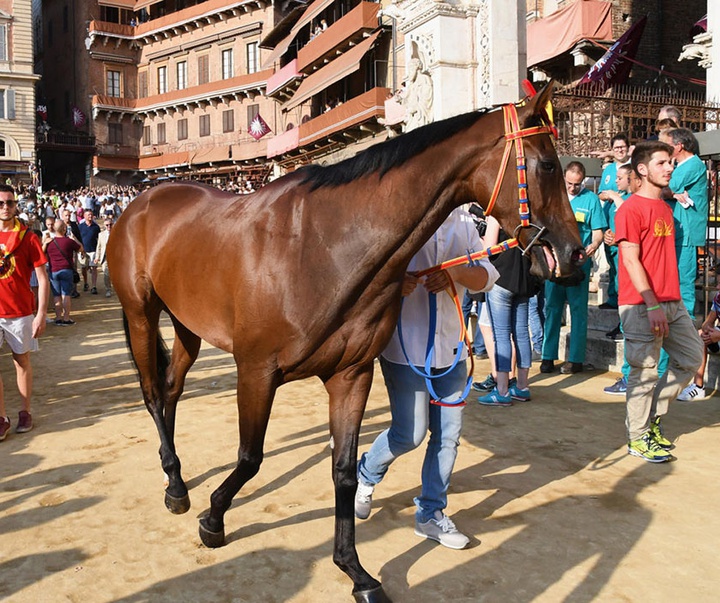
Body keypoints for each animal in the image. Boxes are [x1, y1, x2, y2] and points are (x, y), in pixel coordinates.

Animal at [108, 82, 584, 600]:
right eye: (548, 165)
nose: (575, 253)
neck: (322, 247)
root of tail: (142, 201)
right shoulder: (255, 370)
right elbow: (250, 457)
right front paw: (213, 519)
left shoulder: (350, 375)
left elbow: (343, 472)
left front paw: (354, 569)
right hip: (140, 313)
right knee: (152, 393)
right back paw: (176, 487)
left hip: (186, 323)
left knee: (171, 389)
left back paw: (174, 473)